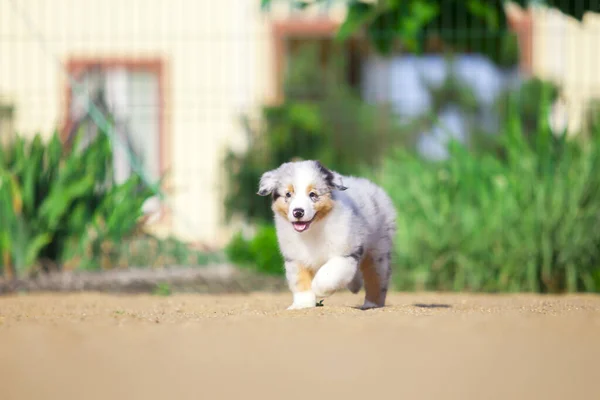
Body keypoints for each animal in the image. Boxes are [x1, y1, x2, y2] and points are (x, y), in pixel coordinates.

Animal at [255, 159, 396, 310]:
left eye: (312, 194)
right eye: (288, 194)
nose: (298, 212)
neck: (313, 230)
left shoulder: (345, 254)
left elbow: (329, 274)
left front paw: (318, 289)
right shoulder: (295, 257)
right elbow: (300, 281)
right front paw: (302, 305)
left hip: (379, 251)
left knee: (376, 279)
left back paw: (371, 304)